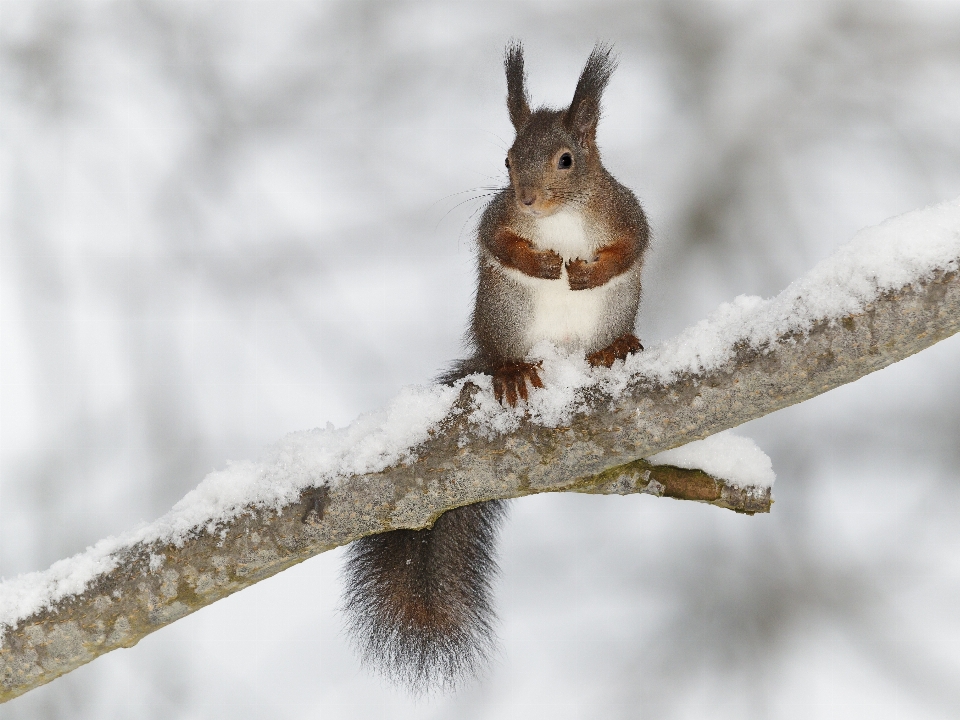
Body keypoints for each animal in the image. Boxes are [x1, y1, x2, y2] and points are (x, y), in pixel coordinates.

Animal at [342, 40, 648, 692]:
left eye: (566, 159)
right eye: (507, 160)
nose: (528, 199)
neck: (561, 219)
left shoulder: (628, 212)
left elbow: (634, 246)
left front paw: (587, 273)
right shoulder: (494, 217)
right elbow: (498, 243)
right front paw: (542, 263)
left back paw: (613, 348)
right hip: (503, 320)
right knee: (504, 354)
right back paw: (510, 371)